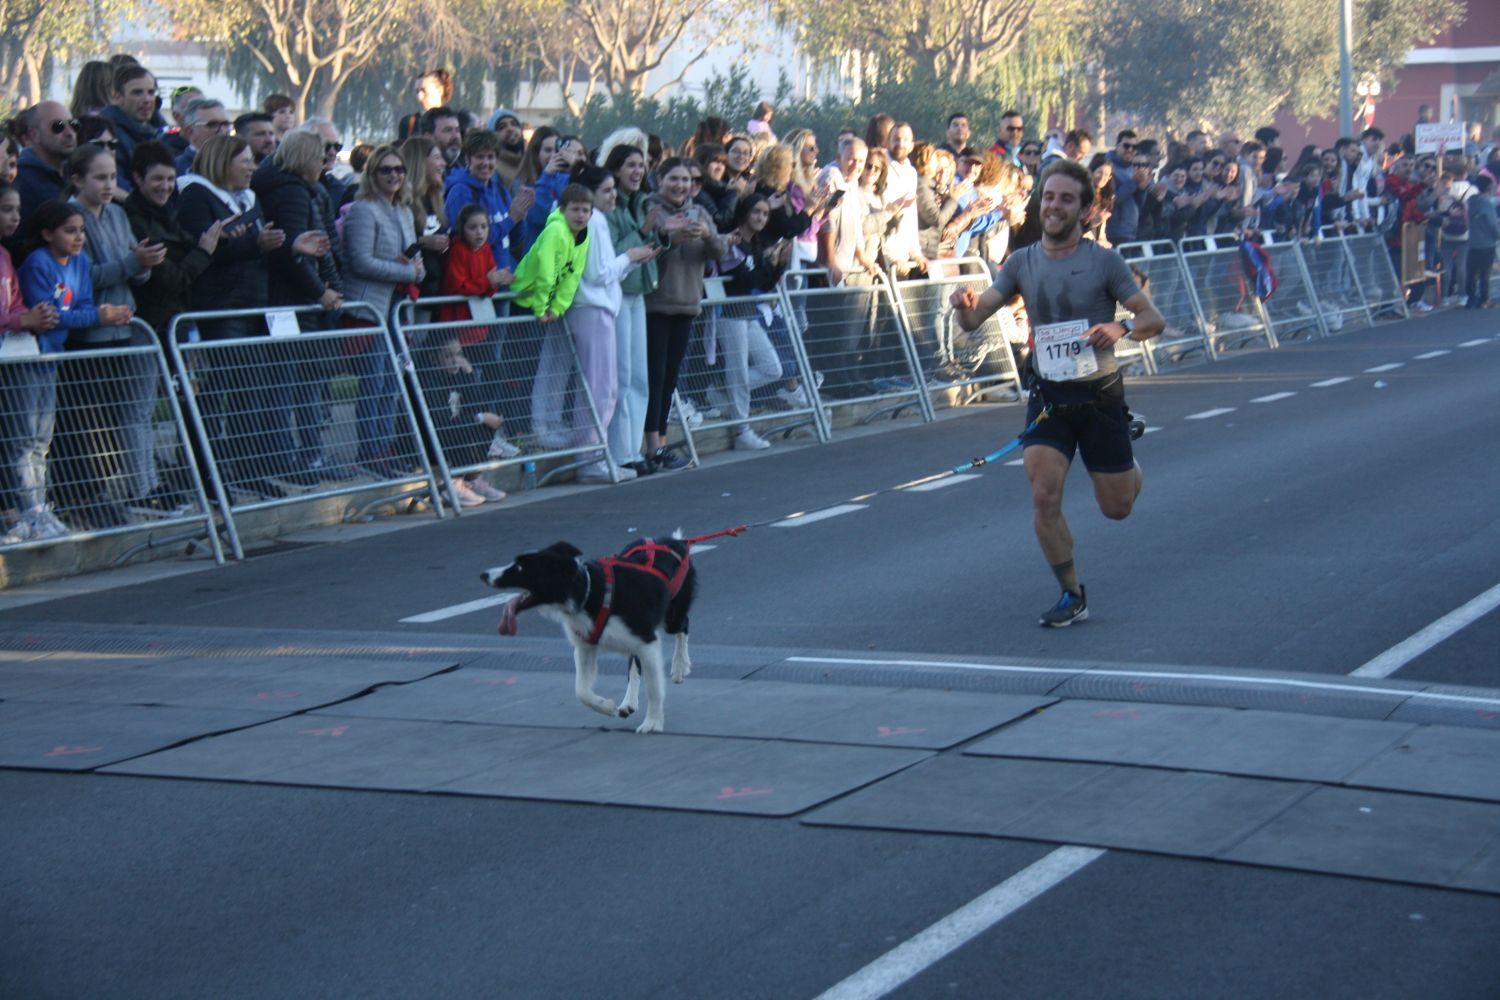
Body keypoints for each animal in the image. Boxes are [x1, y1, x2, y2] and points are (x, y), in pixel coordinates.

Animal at [477, 530, 693, 734]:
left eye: (520, 568)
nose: (483, 575)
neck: (588, 592)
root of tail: (676, 541)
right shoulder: (586, 645)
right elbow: (580, 690)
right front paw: (606, 706)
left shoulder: (647, 640)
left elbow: (654, 689)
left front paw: (652, 723)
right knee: (634, 662)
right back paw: (628, 702)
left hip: (671, 617)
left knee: (683, 625)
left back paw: (680, 666)